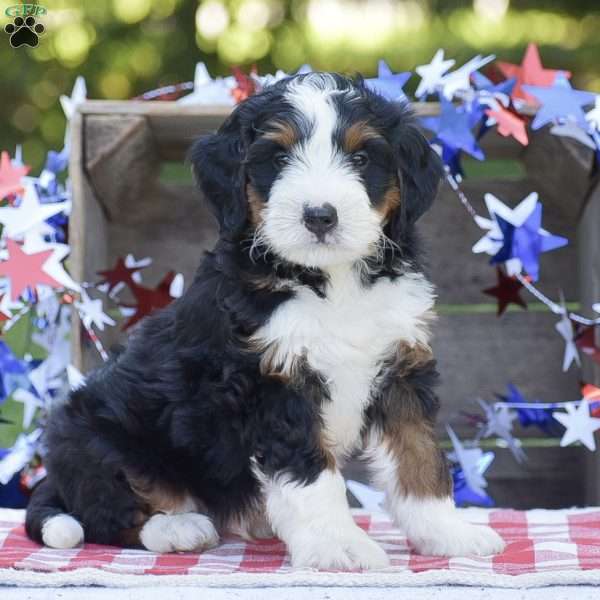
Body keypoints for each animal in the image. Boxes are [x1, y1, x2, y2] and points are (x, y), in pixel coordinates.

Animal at [27, 72, 506, 568]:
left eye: (360, 158)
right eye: (278, 158)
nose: (320, 216)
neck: (331, 282)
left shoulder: (400, 369)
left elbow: (420, 458)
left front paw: (448, 533)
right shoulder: (274, 384)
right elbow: (314, 475)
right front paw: (340, 545)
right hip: (99, 437)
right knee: (108, 511)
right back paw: (178, 528)